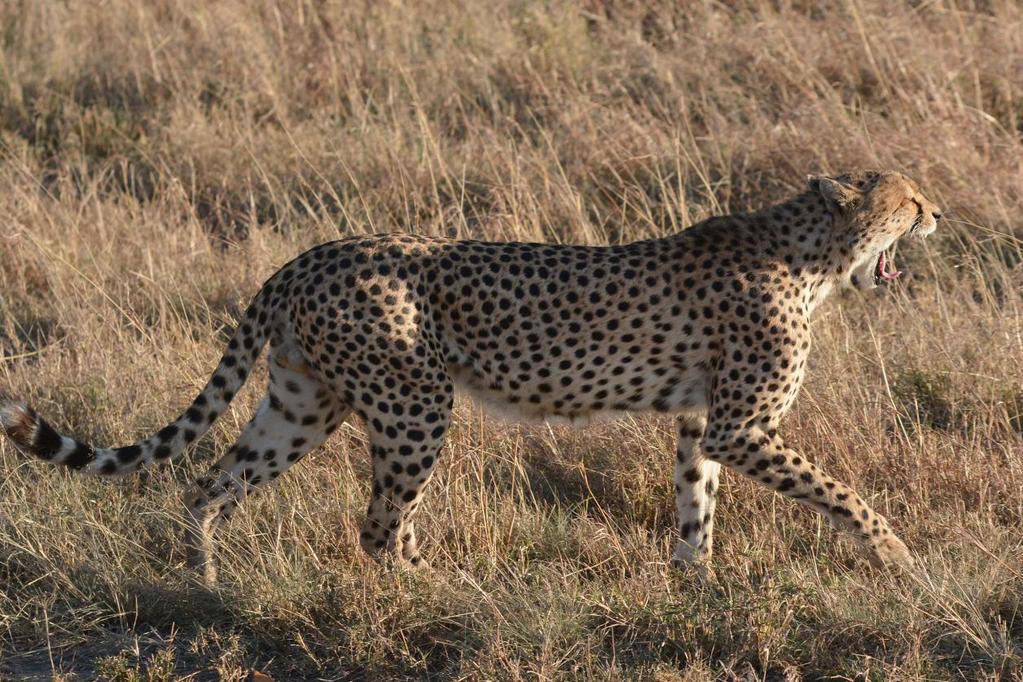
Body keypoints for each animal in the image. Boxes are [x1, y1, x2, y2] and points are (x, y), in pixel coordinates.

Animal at [0, 167, 941, 580]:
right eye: (906, 198)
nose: (938, 211)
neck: (811, 253)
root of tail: (313, 253)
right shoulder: (741, 425)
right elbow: (840, 490)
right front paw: (896, 555)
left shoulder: (698, 423)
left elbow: (694, 505)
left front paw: (695, 588)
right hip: (414, 405)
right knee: (378, 526)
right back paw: (434, 591)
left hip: (304, 404)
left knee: (212, 485)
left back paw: (206, 584)